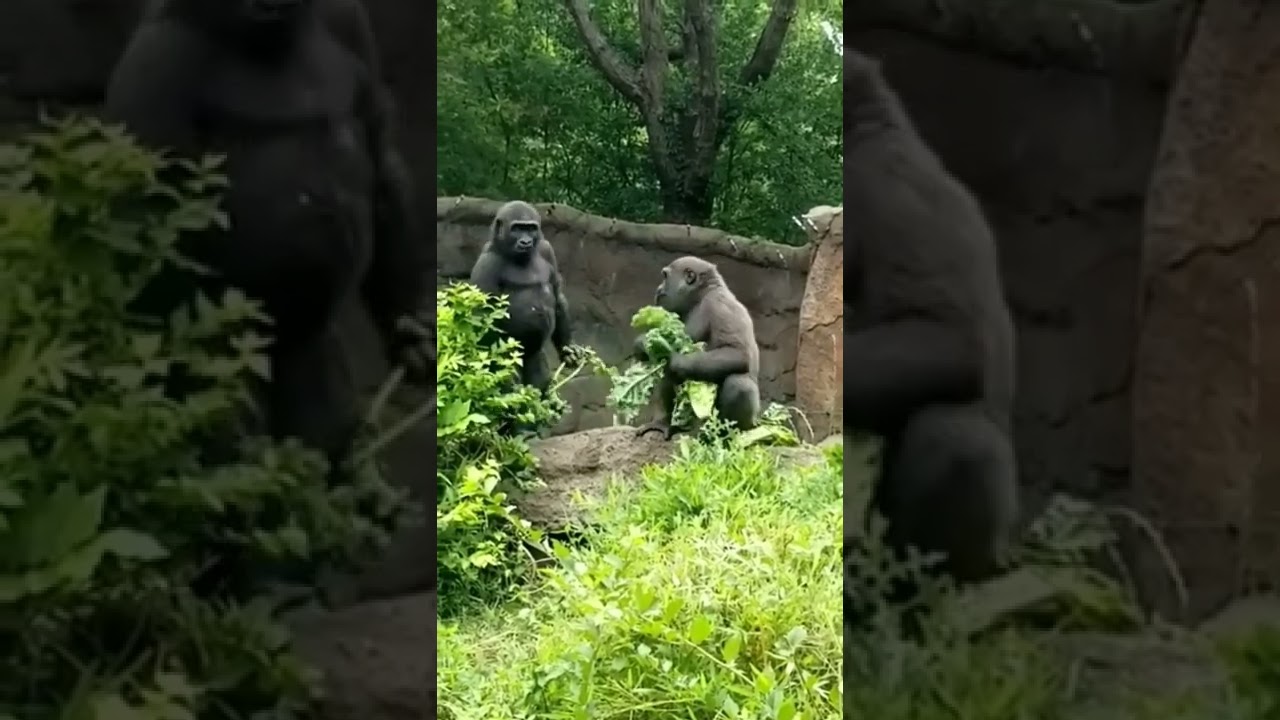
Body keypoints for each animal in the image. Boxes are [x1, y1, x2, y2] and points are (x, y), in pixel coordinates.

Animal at [468, 200, 581, 392]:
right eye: (517, 229)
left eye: (530, 228)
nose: (526, 241)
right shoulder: (487, 263)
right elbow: (483, 316)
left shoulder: (546, 249)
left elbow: (557, 295)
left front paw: (567, 348)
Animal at [634, 256, 761, 440]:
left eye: (665, 277)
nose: (659, 288)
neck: (702, 295)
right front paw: (643, 346)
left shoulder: (720, 304)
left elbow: (737, 352)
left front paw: (672, 359)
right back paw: (662, 422)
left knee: (739, 384)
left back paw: (724, 436)